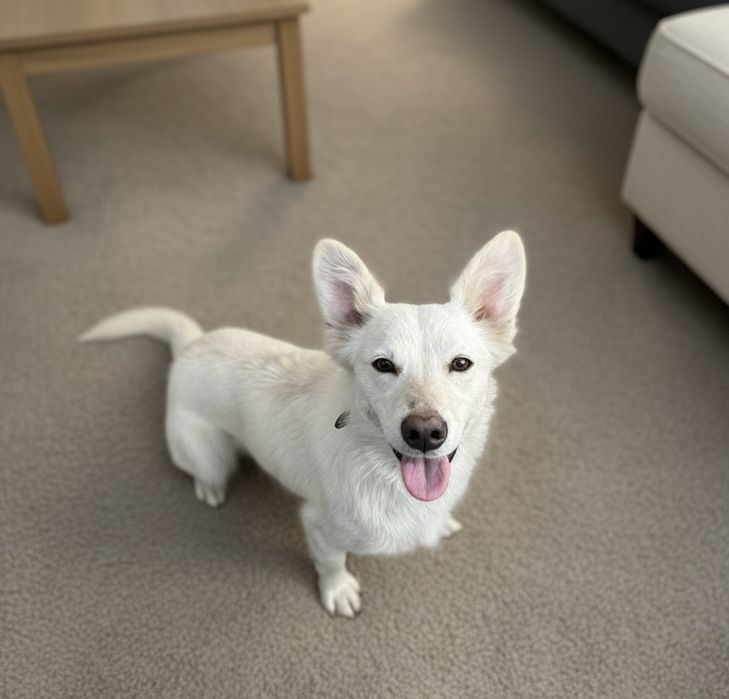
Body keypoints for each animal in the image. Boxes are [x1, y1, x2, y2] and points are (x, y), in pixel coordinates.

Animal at [80, 231, 526, 617]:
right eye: (383, 365)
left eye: (461, 364)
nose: (424, 433)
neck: (387, 477)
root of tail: (191, 346)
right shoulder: (319, 527)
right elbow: (331, 563)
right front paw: (338, 591)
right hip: (209, 456)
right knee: (206, 471)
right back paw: (210, 488)